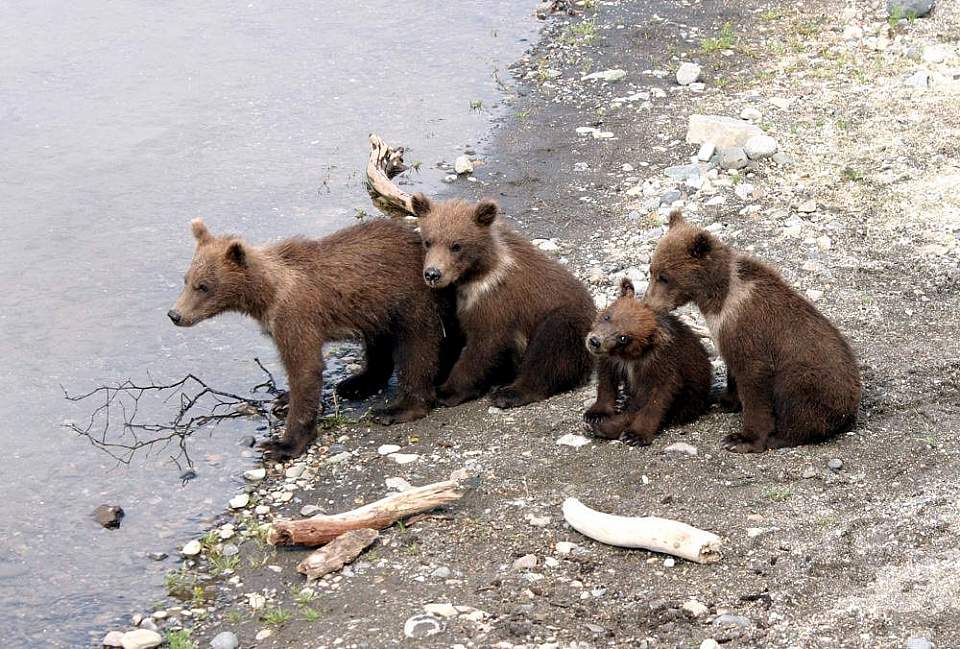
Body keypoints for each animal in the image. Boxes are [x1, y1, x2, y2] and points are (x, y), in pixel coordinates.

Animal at [168, 217, 446, 460]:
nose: (175, 314)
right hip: (376, 308)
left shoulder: (295, 316)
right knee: (379, 346)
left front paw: (282, 444)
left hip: (411, 300)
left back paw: (397, 409)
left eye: (203, 286)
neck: (266, 295)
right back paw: (356, 383)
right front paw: (283, 400)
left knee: (418, 350)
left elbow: (304, 369)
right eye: (186, 279)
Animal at [409, 193, 595, 408]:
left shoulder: (499, 303)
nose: (432, 274)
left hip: (569, 322)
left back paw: (508, 393)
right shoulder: (462, 303)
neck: (475, 276)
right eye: (428, 241)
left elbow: (484, 345)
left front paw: (447, 391)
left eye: (456, 245)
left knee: (549, 349)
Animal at [584, 278, 711, 445]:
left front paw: (635, 435)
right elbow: (606, 382)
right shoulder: (613, 361)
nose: (595, 341)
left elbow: (657, 399)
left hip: (691, 396)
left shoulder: (662, 365)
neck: (631, 357)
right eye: (608, 316)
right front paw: (595, 414)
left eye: (623, 338)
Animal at [643, 210, 862, 453]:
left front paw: (741, 438)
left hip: (814, 379)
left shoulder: (749, 329)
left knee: (796, 397)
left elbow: (753, 379)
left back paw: (780, 436)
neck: (717, 299)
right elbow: (733, 369)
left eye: (664, 277)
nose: (649, 305)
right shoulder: (724, 330)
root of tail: (851, 408)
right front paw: (724, 399)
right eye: (651, 271)